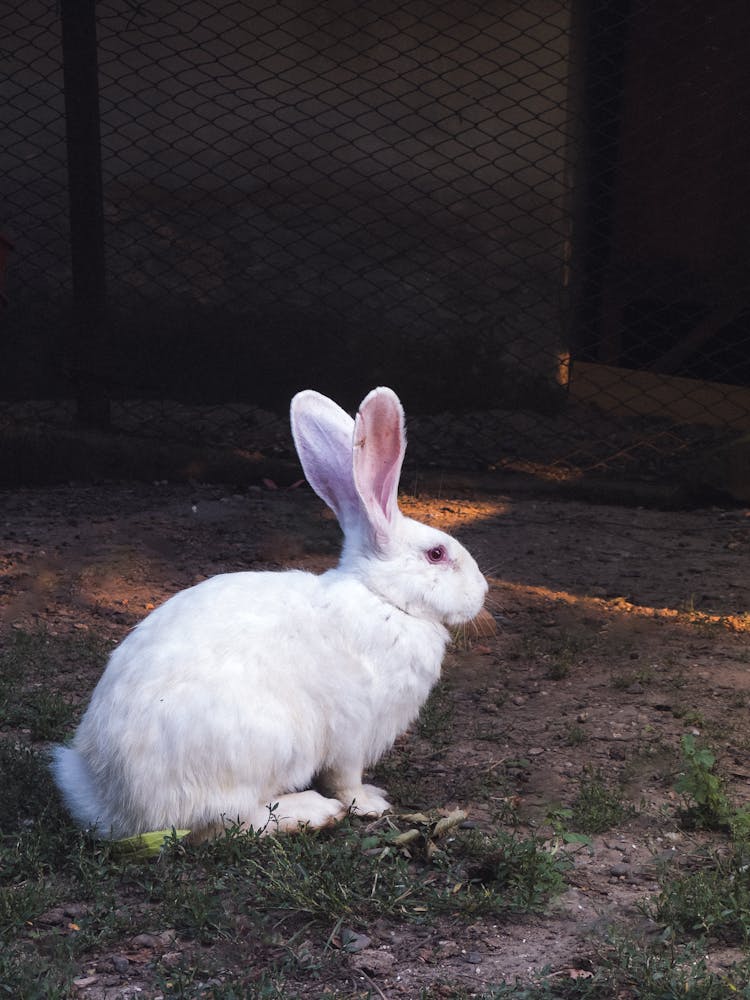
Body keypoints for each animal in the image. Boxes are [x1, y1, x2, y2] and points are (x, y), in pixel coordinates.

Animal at [51, 386, 488, 840]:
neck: (381, 598)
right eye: (436, 554)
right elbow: (346, 779)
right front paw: (370, 803)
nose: (482, 592)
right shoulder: (353, 733)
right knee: (233, 821)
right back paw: (312, 811)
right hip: (264, 747)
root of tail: (114, 805)